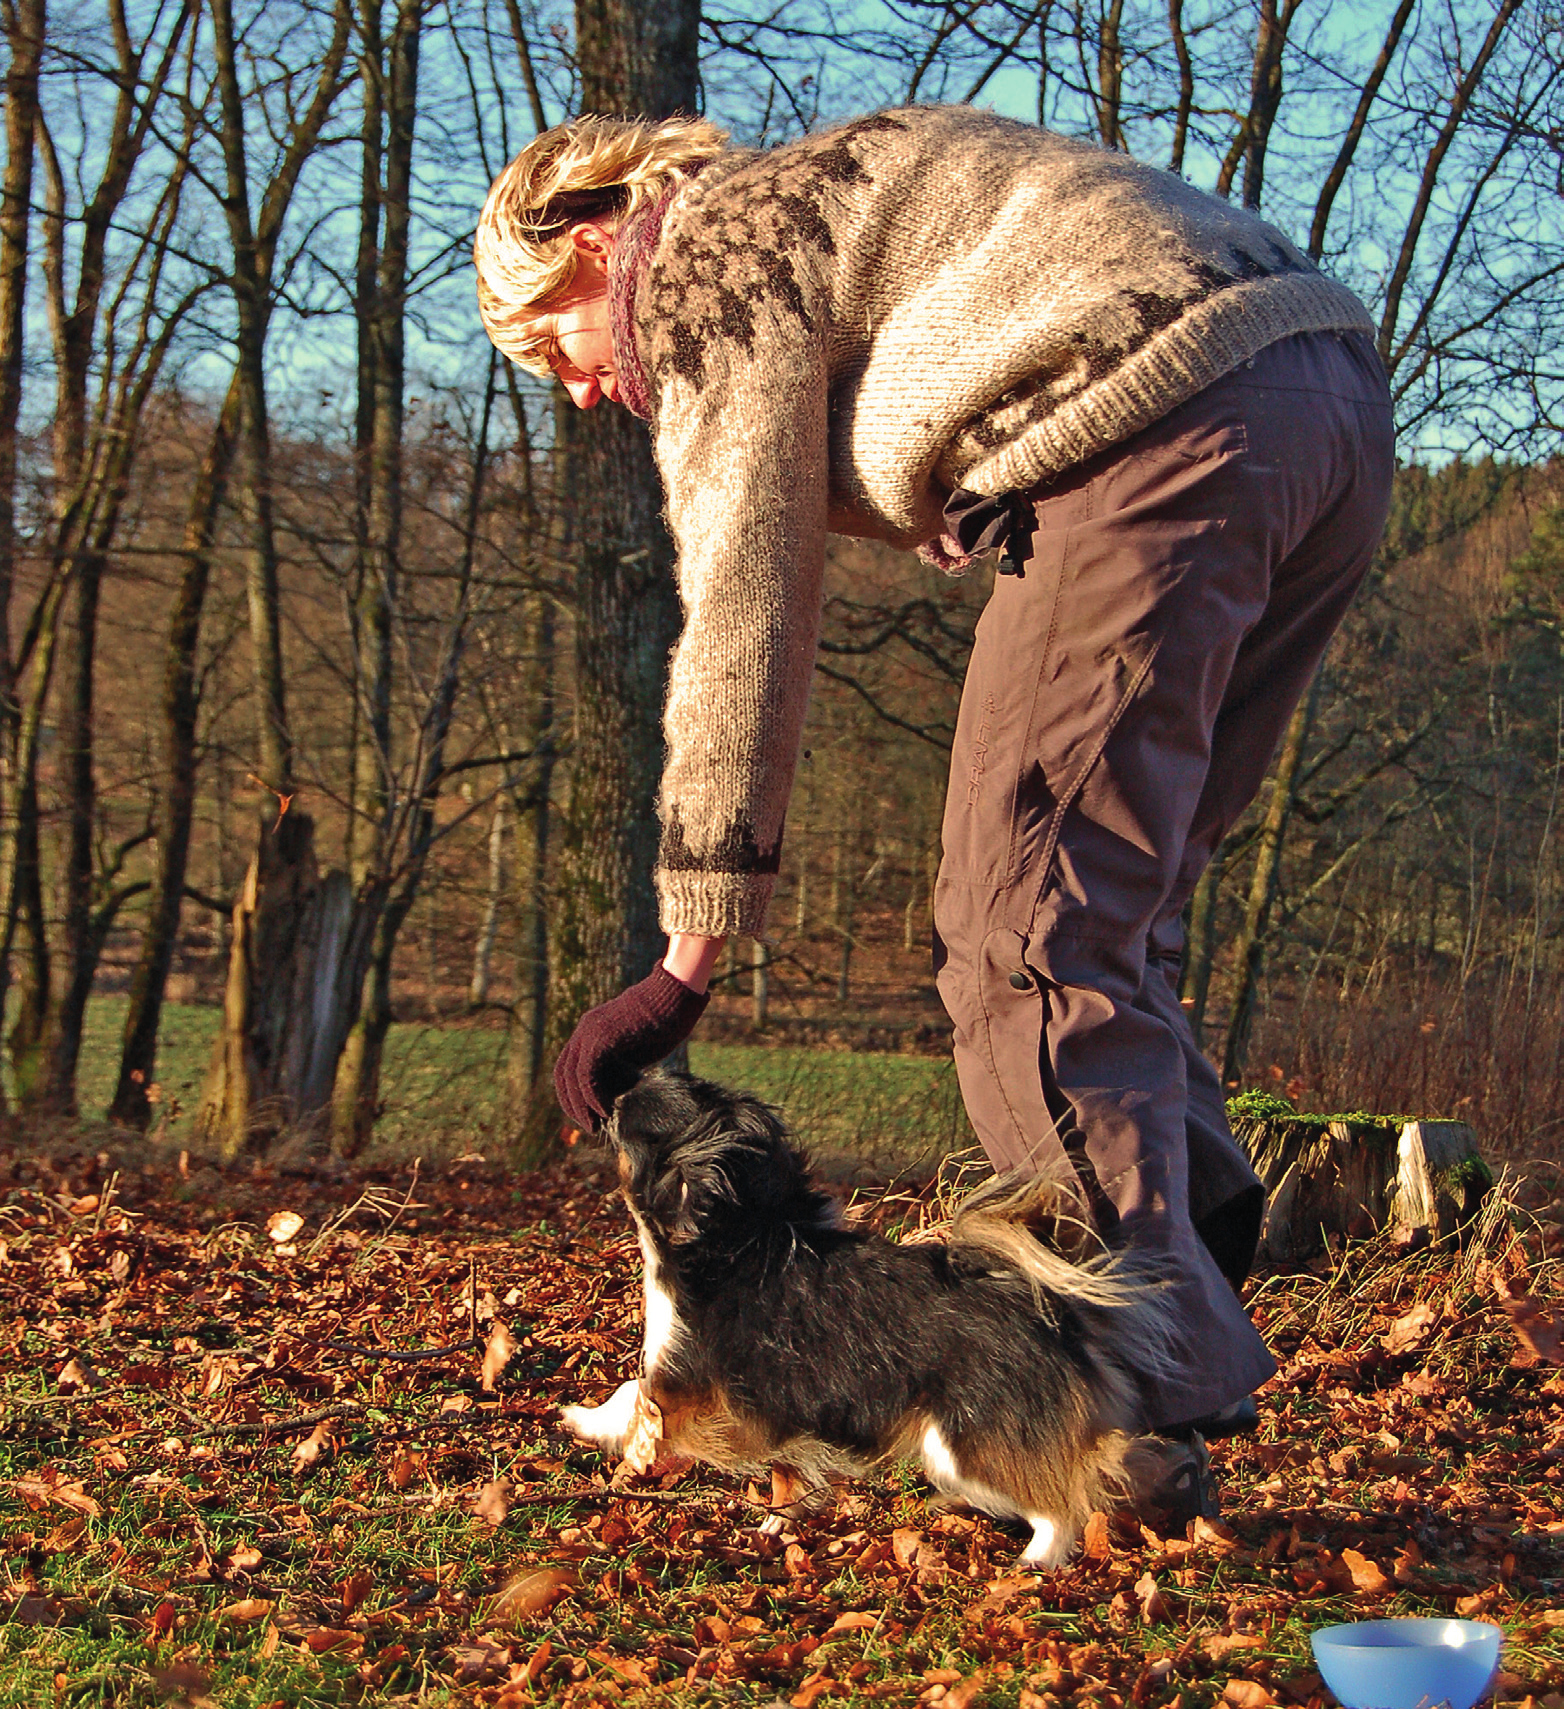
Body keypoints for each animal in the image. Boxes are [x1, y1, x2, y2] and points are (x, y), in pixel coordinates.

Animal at [564, 1073, 1175, 1565]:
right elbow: (788, 1481)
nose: (607, 1093)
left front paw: (585, 1422)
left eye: (623, 1119)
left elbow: (632, 1394)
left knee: (1062, 1506)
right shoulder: (781, 1410)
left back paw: (1033, 1565)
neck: (732, 1232)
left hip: (960, 1446)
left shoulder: (694, 1388)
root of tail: (1045, 1308)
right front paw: (774, 1528)